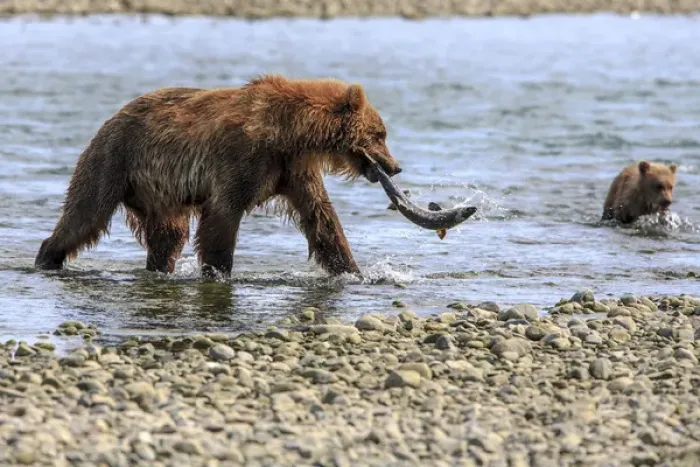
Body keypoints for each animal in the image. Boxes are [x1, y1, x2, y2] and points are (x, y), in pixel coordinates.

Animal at [34, 74, 403, 278]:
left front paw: (355, 271)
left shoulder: (292, 170)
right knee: (85, 214)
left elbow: (322, 220)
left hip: (159, 195)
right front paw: (218, 271)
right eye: (380, 134)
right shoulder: (242, 157)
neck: (290, 134)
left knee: (167, 238)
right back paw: (47, 257)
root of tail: (110, 118)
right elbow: (223, 217)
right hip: (114, 160)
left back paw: (158, 267)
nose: (395, 166)